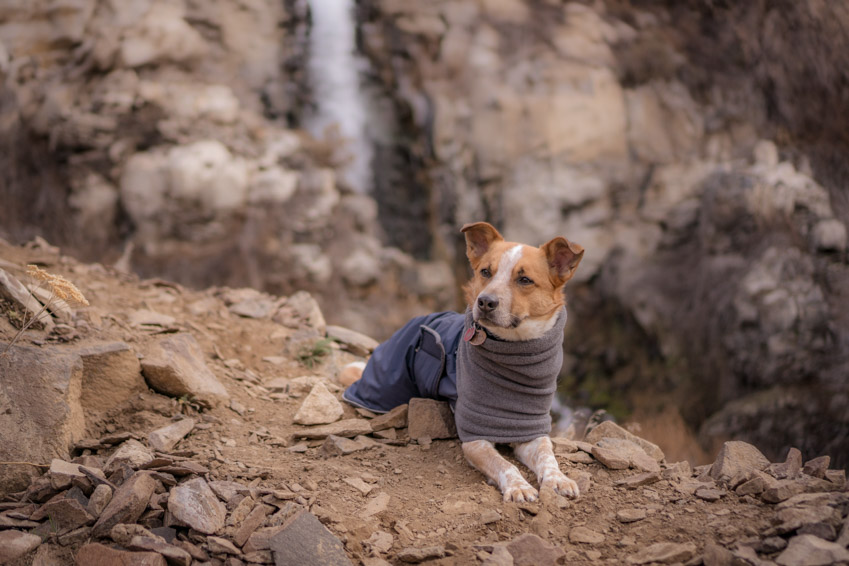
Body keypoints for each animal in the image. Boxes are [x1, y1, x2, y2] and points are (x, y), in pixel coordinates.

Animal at [340, 222, 584, 502]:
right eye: (485, 272)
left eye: (524, 280)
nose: (485, 301)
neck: (514, 352)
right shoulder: (474, 438)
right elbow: (505, 464)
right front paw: (519, 486)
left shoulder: (531, 429)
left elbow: (548, 455)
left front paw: (559, 479)